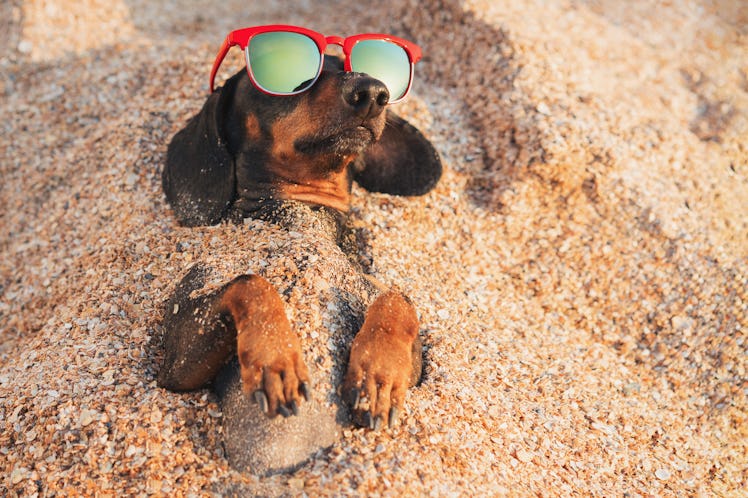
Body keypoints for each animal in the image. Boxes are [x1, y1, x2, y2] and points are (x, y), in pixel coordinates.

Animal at [156, 51, 442, 474]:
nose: (373, 92)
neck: (304, 215)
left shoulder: (416, 360)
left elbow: (397, 299)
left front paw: (379, 375)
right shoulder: (176, 363)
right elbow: (250, 282)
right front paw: (275, 358)